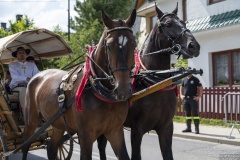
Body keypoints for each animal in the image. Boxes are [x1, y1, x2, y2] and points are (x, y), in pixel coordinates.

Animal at [22, 9, 137, 160]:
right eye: (109, 46)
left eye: (134, 44)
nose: (122, 90)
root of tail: (37, 76)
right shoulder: (86, 134)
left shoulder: (115, 131)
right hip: (31, 121)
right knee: (25, 145)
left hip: (57, 123)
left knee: (52, 147)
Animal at [97, 3, 201, 160]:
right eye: (168, 24)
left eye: (183, 22)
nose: (193, 45)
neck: (155, 83)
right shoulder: (137, 130)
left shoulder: (166, 128)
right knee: (101, 144)